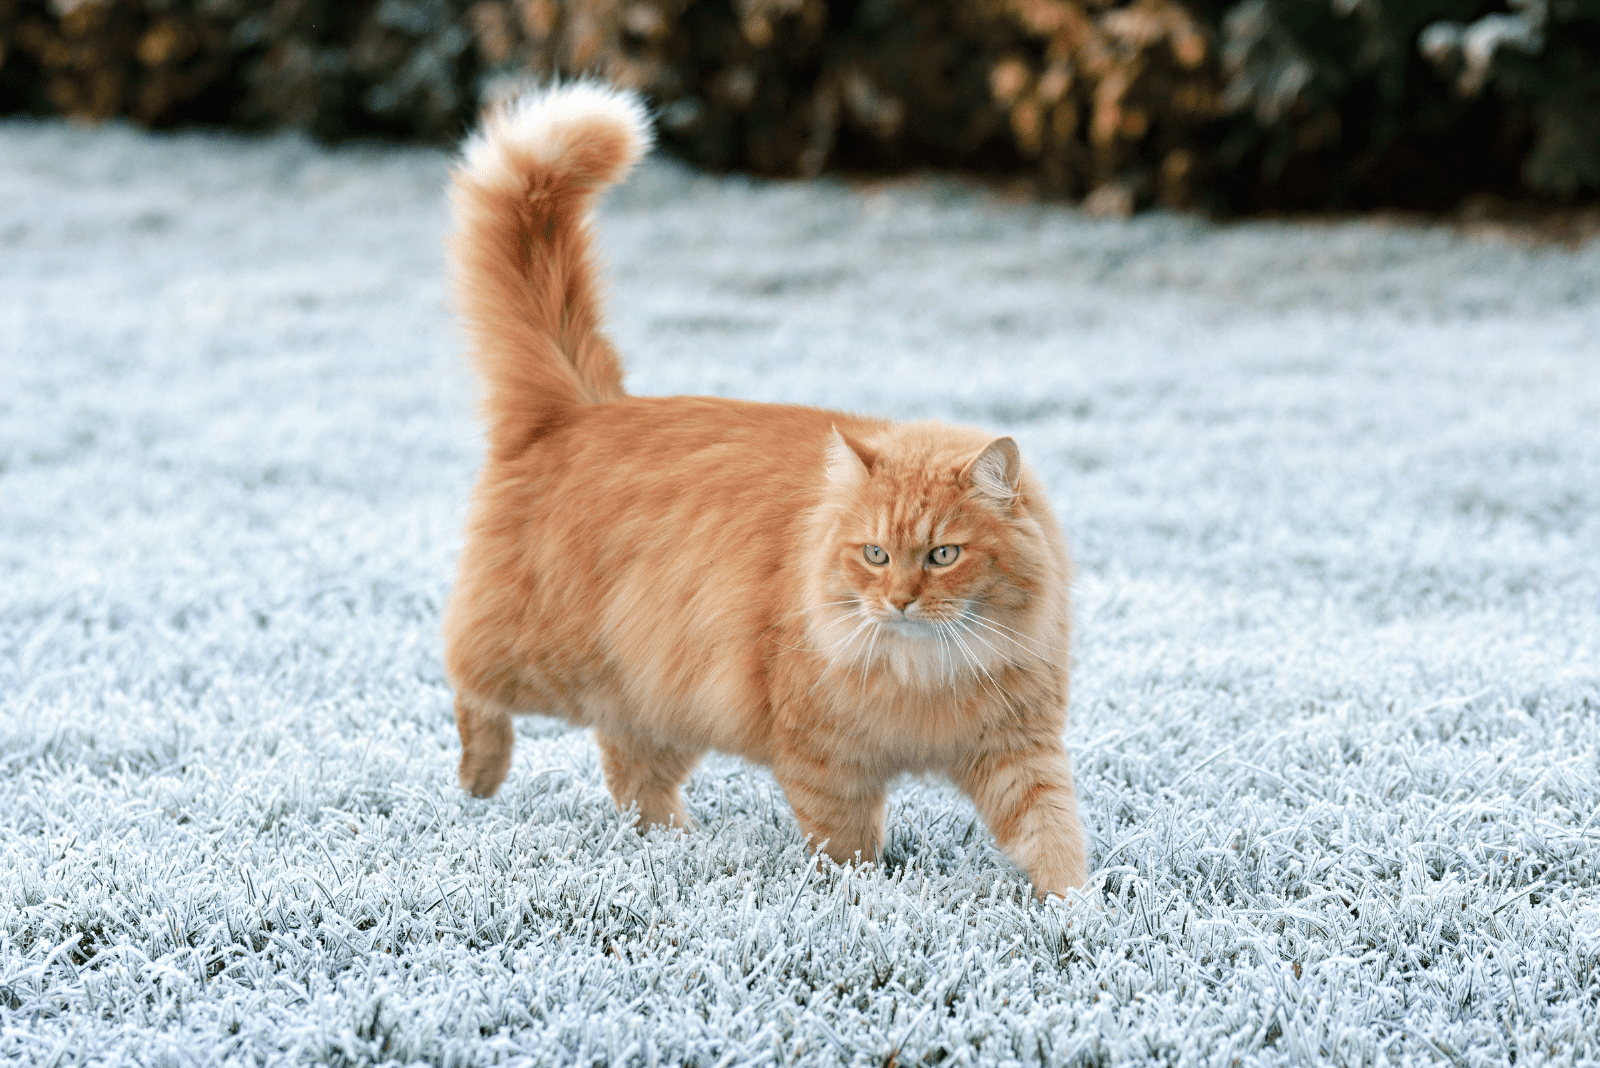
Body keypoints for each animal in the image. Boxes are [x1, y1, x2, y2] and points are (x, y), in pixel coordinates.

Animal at [441, 83, 1088, 895]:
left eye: (943, 556)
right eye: (875, 555)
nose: (900, 601)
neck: (924, 670)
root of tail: (587, 407)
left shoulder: (1016, 749)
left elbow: (1055, 836)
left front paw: (1077, 909)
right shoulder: (826, 760)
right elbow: (848, 846)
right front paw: (863, 900)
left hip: (664, 693)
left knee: (628, 768)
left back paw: (670, 843)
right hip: (540, 657)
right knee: (465, 672)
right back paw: (480, 778)